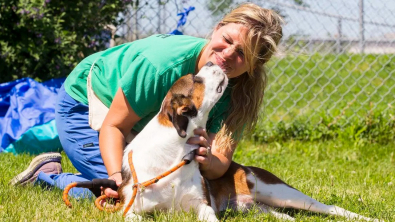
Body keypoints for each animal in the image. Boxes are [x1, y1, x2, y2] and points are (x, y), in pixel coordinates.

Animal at [118, 62, 380, 222]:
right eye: (196, 79)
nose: (211, 63)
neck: (176, 152)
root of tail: (245, 167)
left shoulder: (203, 206)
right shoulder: (128, 210)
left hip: (282, 192)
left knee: (331, 208)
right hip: (258, 205)